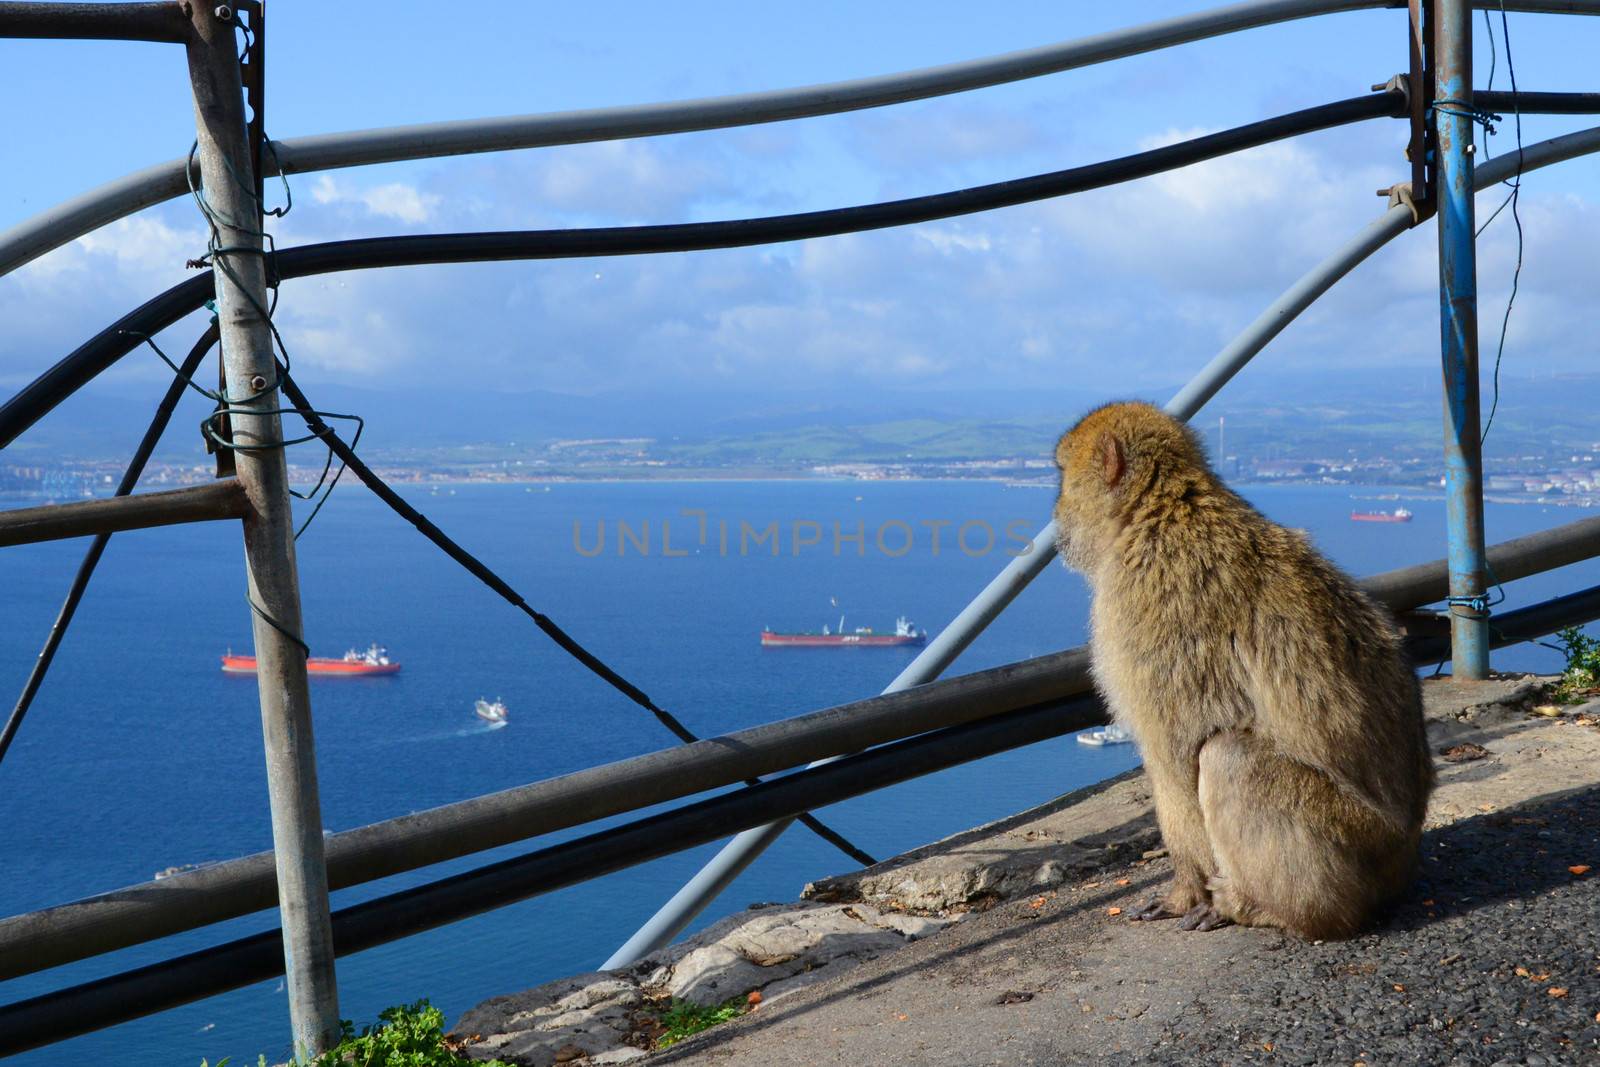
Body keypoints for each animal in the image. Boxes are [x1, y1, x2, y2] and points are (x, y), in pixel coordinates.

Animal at [1049, 404, 1440, 940]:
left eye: (1063, 478)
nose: (1055, 516)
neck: (1159, 513)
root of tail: (1406, 856)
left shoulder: (1144, 614)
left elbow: (1178, 755)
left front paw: (1184, 892)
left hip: (1352, 841)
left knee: (1229, 757)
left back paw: (1263, 907)